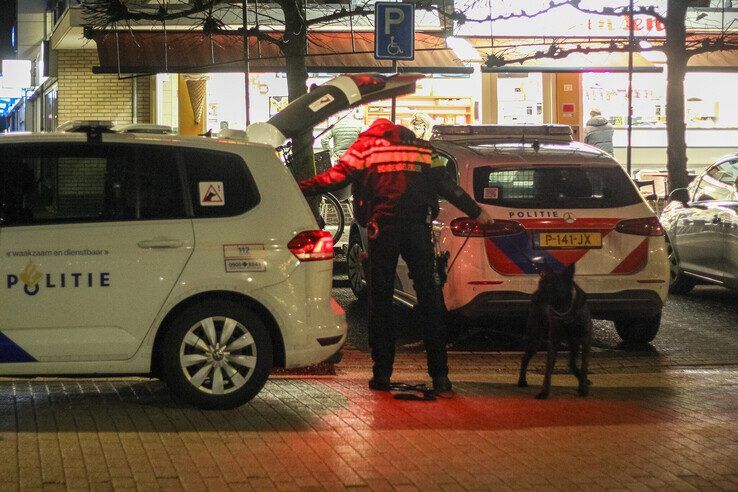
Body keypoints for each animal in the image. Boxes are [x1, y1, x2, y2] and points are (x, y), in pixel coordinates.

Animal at [516, 264, 592, 398]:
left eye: (550, 285)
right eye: (540, 283)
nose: (532, 298)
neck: (566, 310)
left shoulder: (585, 340)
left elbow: (583, 366)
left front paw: (583, 388)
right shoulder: (554, 342)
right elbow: (548, 369)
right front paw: (544, 392)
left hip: (573, 343)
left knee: (571, 363)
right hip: (535, 339)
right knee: (524, 358)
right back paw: (522, 381)